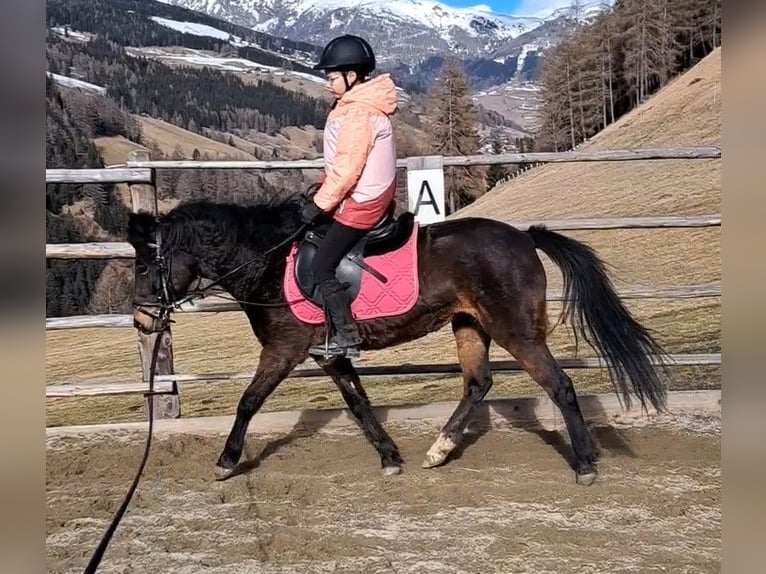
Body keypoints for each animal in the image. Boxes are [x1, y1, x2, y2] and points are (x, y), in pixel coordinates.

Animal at [129, 197, 668, 486]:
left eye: (146, 263)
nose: (140, 319)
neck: (268, 263)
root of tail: (524, 237)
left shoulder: (284, 350)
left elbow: (248, 402)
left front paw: (226, 462)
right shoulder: (329, 355)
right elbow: (359, 403)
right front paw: (390, 458)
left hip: (514, 330)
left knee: (560, 386)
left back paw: (584, 465)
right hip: (468, 325)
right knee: (478, 384)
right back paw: (439, 450)